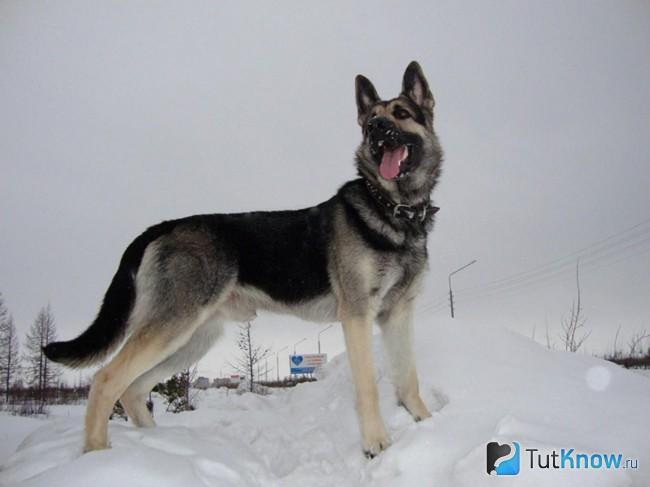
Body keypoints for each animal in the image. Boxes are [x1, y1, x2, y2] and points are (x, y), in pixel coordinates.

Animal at [44, 61, 440, 458]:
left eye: (401, 114)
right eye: (371, 119)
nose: (376, 130)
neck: (393, 209)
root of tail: (164, 226)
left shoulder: (397, 315)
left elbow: (409, 377)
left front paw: (426, 423)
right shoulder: (357, 316)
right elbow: (368, 386)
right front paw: (376, 443)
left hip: (191, 339)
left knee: (133, 388)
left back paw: (160, 446)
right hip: (173, 327)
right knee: (106, 379)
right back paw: (99, 453)